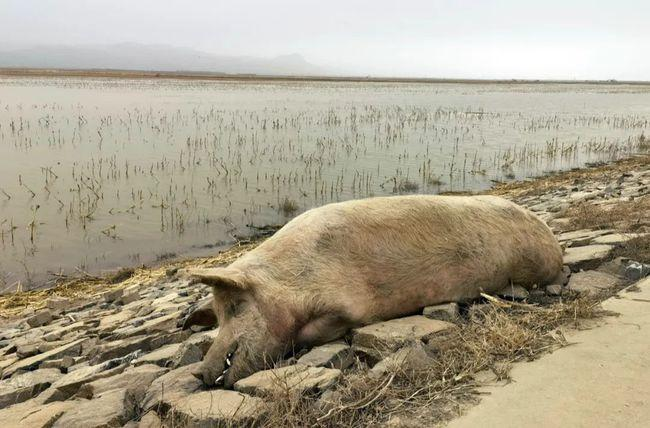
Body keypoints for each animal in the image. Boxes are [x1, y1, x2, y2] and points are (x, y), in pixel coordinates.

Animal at [184, 196, 560, 386]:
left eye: (235, 308)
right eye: (217, 316)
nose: (197, 372)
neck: (288, 282)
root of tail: (553, 240)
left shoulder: (348, 306)